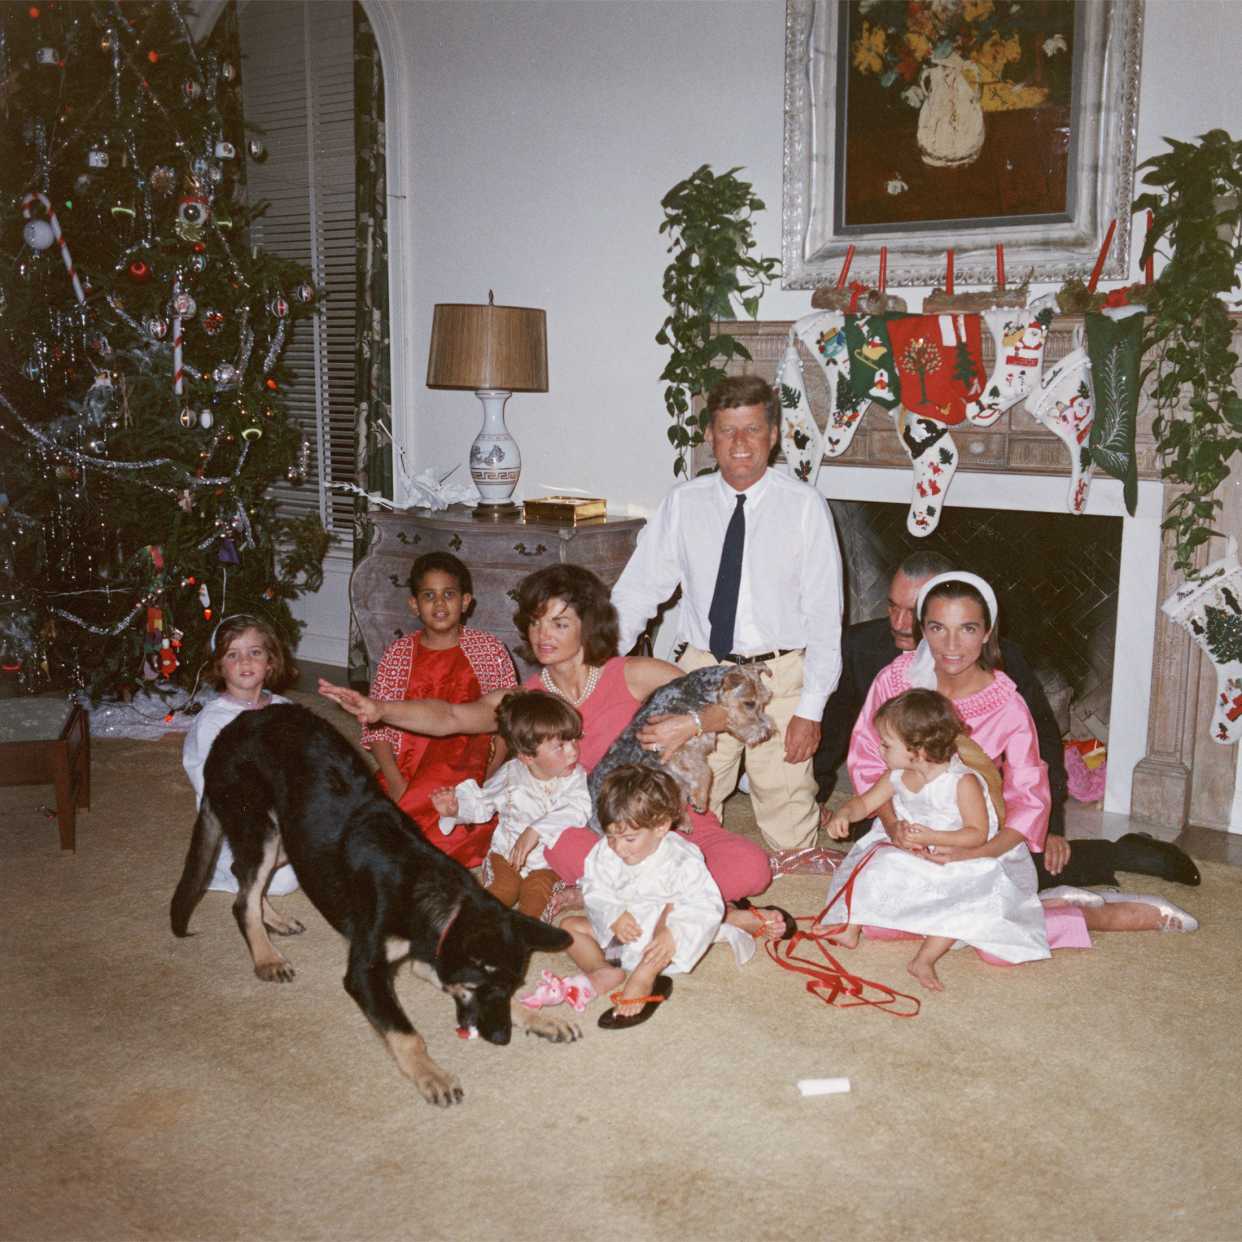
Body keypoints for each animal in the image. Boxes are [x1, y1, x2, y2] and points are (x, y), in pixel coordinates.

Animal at [586, 665, 770, 829]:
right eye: (749, 703)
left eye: (764, 701)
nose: (766, 734)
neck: (696, 694)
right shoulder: (679, 752)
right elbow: (705, 773)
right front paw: (699, 801)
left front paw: (686, 816)